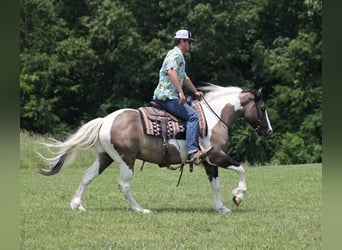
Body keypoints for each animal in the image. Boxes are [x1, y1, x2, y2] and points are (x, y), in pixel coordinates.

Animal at [37, 85, 272, 214]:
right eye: (262, 108)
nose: (269, 130)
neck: (214, 118)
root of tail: (105, 120)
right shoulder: (216, 155)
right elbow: (240, 168)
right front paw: (238, 195)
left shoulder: (208, 160)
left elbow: (215, 184)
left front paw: (221, 207)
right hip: (126, 159)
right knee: (124, 185)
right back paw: (140, 209)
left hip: (105, 157)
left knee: (87, 176)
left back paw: (76, 204)